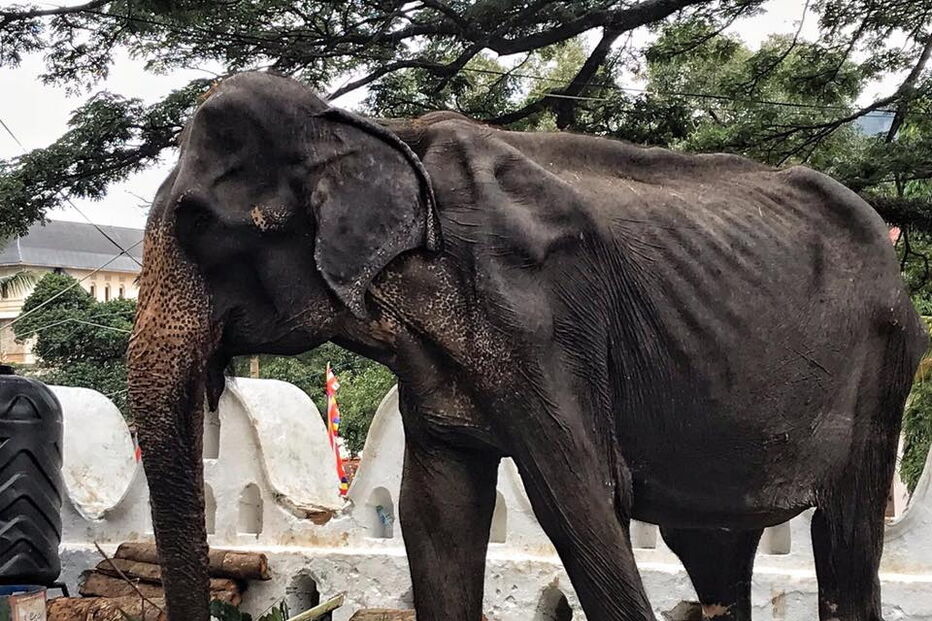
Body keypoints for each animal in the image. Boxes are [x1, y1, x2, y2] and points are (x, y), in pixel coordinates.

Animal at [126, 71, 927, 621]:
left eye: (197, 222)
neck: (379, 130)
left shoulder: (542, 317)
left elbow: (579, 501)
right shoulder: (434, 362)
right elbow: (434, 514)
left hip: (885, 362)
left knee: (845, 539)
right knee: (712, 547)